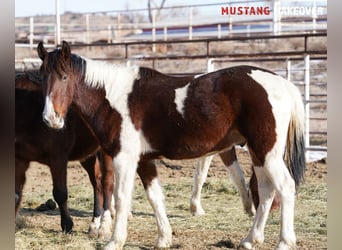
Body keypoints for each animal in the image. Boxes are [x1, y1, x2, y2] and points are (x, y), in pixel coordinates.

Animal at [36, 41, 304, 250]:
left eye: (64, 77)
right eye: (42, 78)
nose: (51, 119)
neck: (114, 97)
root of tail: (283, 83)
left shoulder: (124, 158)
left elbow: (121, 198)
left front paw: (114, 240)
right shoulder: (144, 160)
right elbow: (155, 197)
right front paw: (164, 238)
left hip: (267, 153)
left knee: (285, 187)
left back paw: (284, 241)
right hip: (259, 154)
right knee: (267, 191)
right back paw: (250, 239)